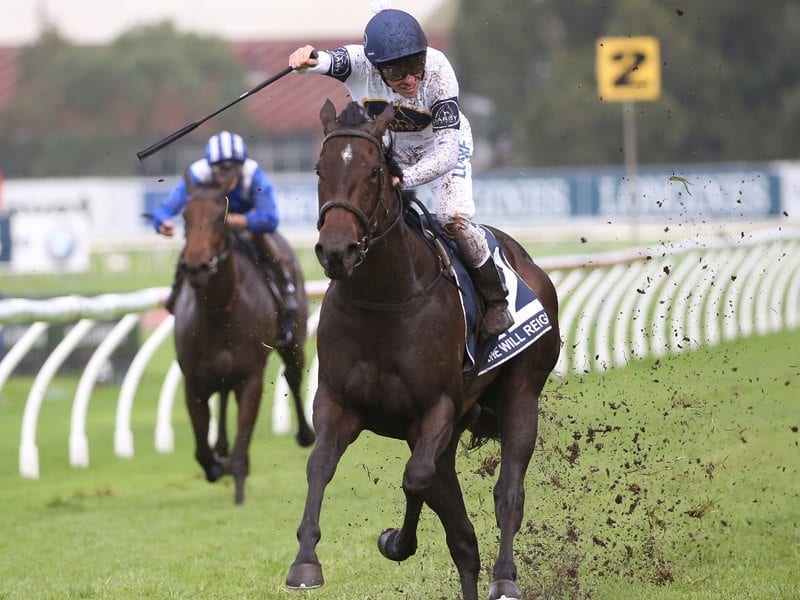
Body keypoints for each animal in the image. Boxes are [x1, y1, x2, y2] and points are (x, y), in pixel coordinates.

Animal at [175, 185, 316, 504]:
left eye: (220, 217)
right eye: (185, 216)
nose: (196, 267)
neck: (219, 311)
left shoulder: (250, 376)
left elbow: (241, 448)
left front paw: (238, 489)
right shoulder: (193, 381)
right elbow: (202, 453)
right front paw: (218, 464)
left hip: (294, 342)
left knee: (293, 375)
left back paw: (305, 434)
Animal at [284, 99, 560, 600]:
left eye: (375, 170)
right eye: (319, 169)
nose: (336, 250)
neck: (385, 299)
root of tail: (528, 262)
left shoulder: (436, 408)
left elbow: (415, 478)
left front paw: (397, 541)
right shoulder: (337, 402)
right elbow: (320, 467)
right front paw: (305, 563)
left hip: (521, 392)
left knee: (508, 491)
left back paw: (505, 576)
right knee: (463, 537)